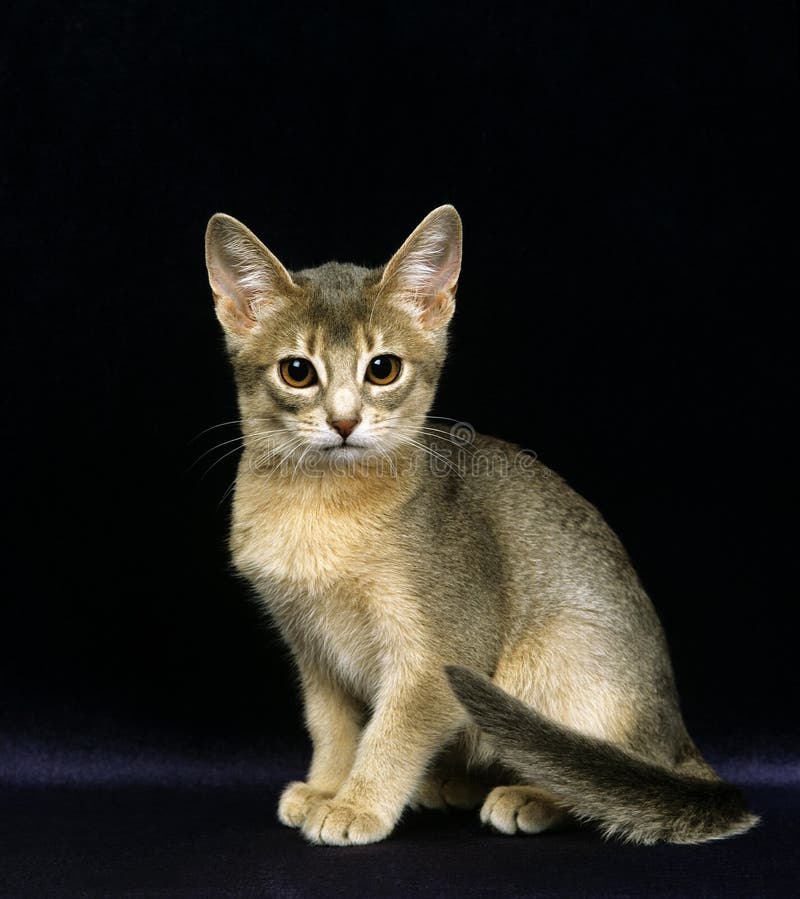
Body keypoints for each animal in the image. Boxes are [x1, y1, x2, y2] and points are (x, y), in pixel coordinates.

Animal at [205, 204, 756, 844]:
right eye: (297, 372)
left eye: (382, 369)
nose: (344, 422)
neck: (321, 507)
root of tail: (677, 739)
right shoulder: (314, 653)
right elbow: (332, 728)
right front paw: (326, 787)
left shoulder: (439, 656)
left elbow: (390, 735)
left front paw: (357, 806)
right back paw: (451, 785)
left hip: (547, 653)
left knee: (592, 779)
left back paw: (529, 797)